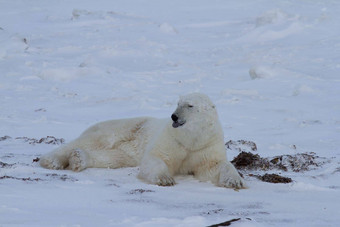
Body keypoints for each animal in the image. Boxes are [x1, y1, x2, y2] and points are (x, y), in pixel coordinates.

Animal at [40, 93, 244, 189]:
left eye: (190, 105)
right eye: (177, 103)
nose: (174, 116)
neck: (191, 138)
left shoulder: (206, 145)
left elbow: (213, 166)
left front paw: (235, 181)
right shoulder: (171, 139)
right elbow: (157, 158)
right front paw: (165, 179)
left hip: (127, 149)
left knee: (112, 157)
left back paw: (79, 159)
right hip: (123, 128)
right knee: (91, 141)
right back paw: (52, 160)